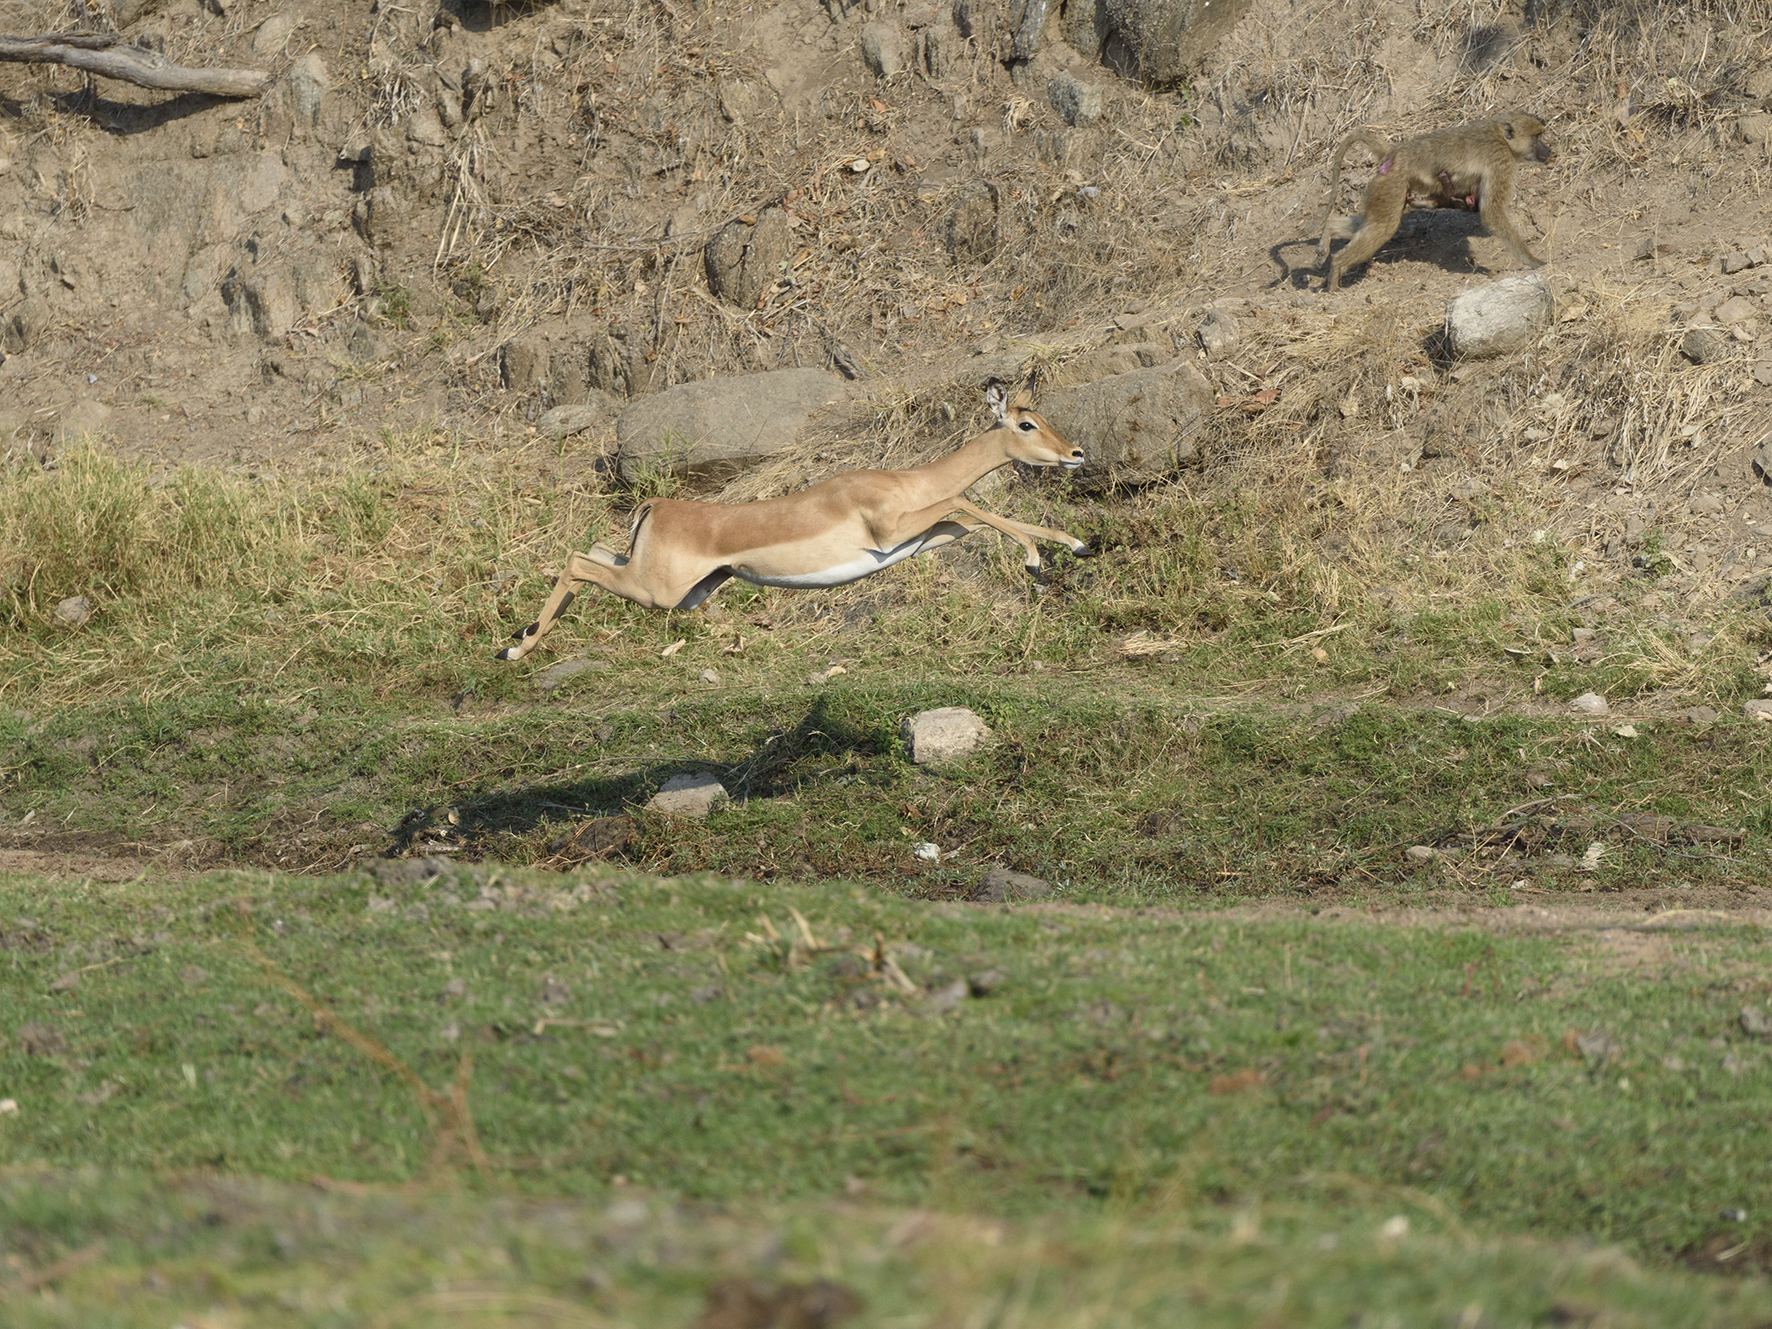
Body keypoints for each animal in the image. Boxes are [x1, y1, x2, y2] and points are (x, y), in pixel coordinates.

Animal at [497, 381, 1091, 662]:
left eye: (1043, 417)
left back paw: (518, 639)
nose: (1077, 453)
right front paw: (1039, 559)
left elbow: (977, 516)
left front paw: (1071, 546)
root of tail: (658, 507)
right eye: (1026, 423)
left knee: (590, 554)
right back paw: (515, 648)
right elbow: (966, 503)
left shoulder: (921, 538)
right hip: (656, 592)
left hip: (680, 589)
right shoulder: (893, 531)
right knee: (577, 562)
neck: (904, 482)